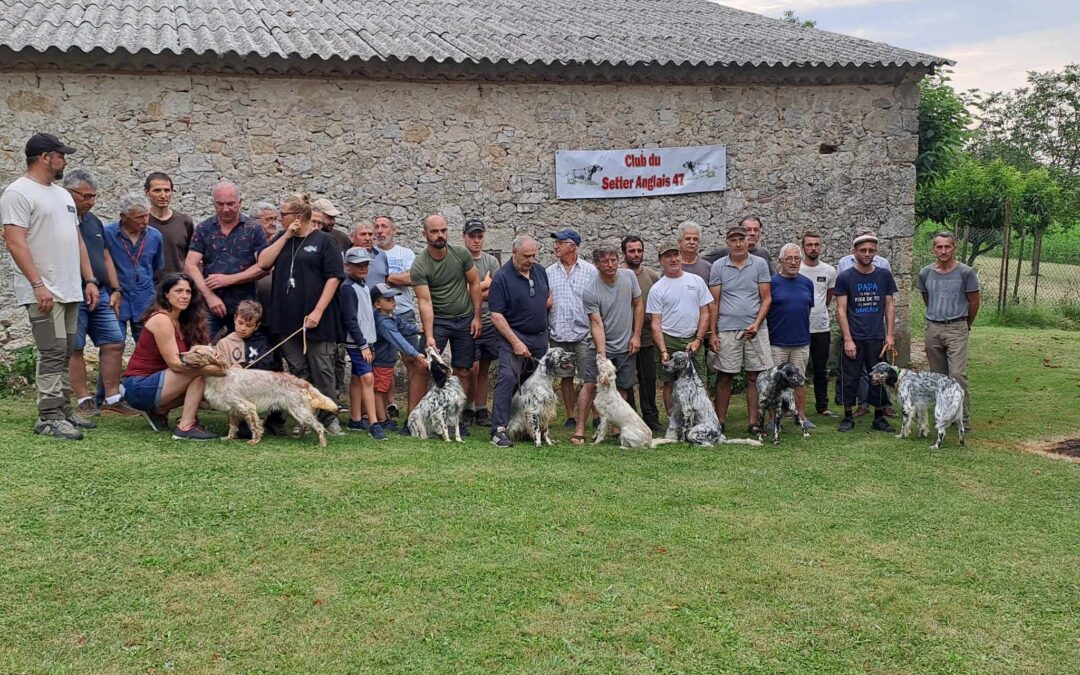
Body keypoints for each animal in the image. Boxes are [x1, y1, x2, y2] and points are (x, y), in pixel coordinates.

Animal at [178, 345, 336, 444]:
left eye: (197, 352)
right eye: (190, 349)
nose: (180, 354)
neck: (218, 377)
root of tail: (300, 381)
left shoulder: (247, 407)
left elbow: (254, 426)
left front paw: (254, 441)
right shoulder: (232, 410)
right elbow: (232, 427)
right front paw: (228, 438)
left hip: (299, 410)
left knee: (318, 426)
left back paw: (322, 443)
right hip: (293, 410)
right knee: (304, 425)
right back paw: (299, 437)